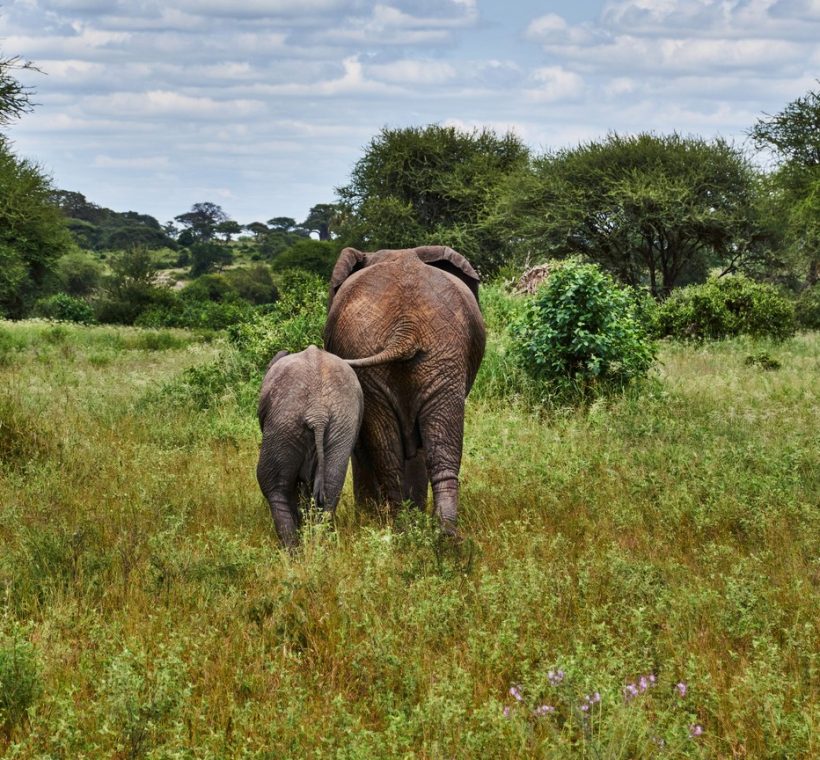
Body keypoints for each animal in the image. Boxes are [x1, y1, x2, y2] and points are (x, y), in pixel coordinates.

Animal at [256, 345, 363, 547]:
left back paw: (292, 551)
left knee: (273, 486)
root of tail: (317, 413)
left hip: (284, 423)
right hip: (341, 425)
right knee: (330, 487)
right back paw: (320, 544)